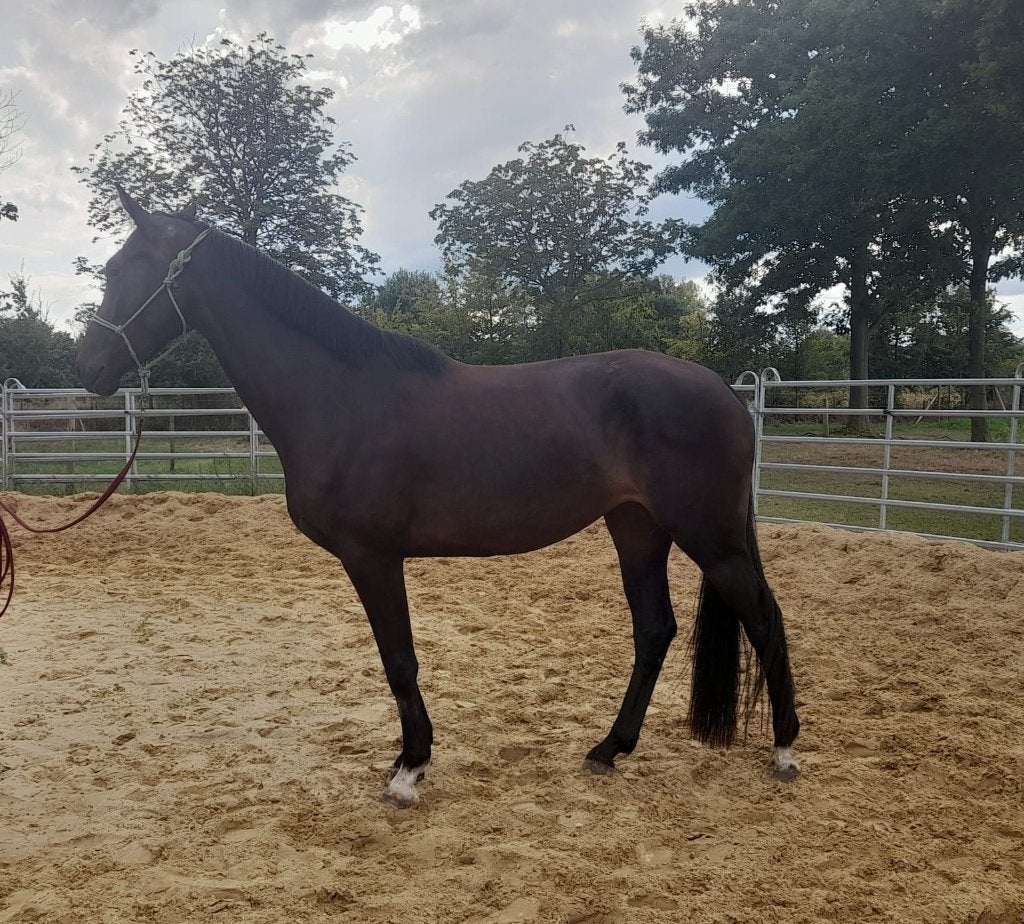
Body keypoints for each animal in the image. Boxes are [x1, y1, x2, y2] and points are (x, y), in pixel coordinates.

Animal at [77, 187, 800, 806]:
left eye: (127, 266)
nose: (90, 367)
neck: (339, 397)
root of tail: (725, 391)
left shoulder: (372, 556)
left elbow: (399, 660)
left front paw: (409, 770)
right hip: (636, 527)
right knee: (655, 629)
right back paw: (609, 749)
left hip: (709, 535)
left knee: (765, 619)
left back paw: (786, 751)